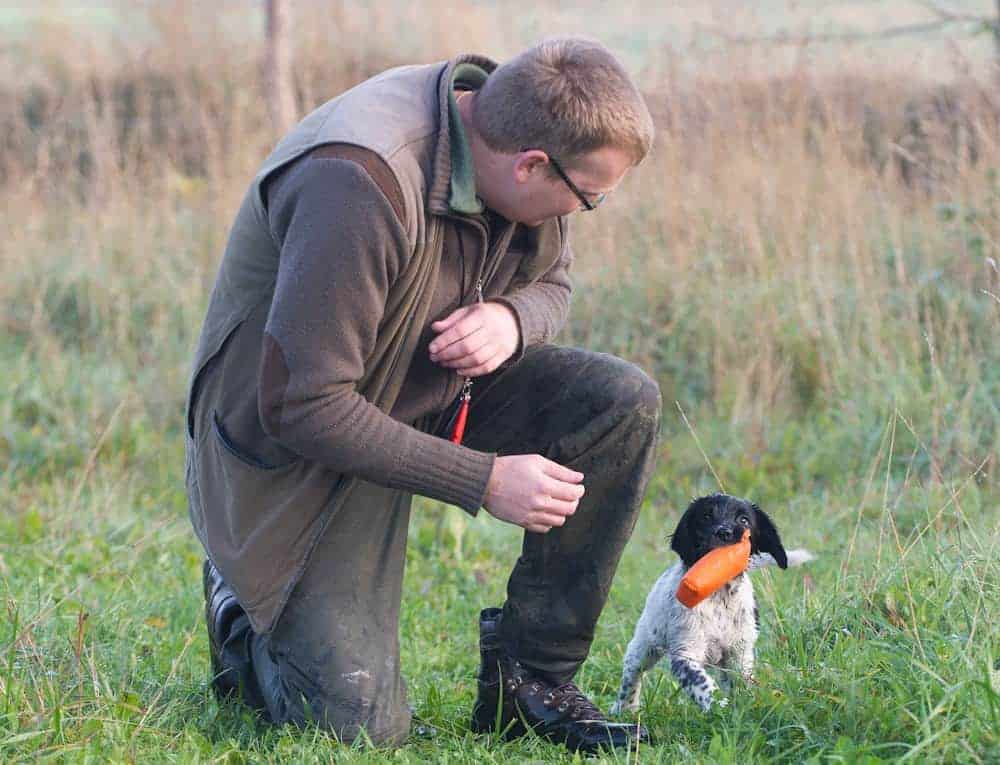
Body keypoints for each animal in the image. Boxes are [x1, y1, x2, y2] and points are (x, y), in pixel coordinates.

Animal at [608, 492, 812, 712]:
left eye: (744, 520)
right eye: (706, 516)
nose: (724, 532)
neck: (718, 596)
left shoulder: (738, 655)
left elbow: (741, 684)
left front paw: (743, 707)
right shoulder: (685, 653)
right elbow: (701, 683)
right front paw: (718, 707)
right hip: (645, 643)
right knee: (632, 672)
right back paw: (624, 708)